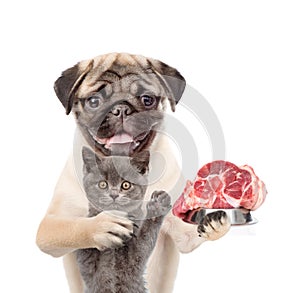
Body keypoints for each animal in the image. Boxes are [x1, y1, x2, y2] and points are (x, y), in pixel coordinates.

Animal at [76, 147, 171, 290]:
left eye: (126, 185)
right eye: (103, 184)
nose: (114, 194)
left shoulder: (133, 264)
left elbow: (144, 240)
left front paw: (158, 203)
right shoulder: (88, 267)